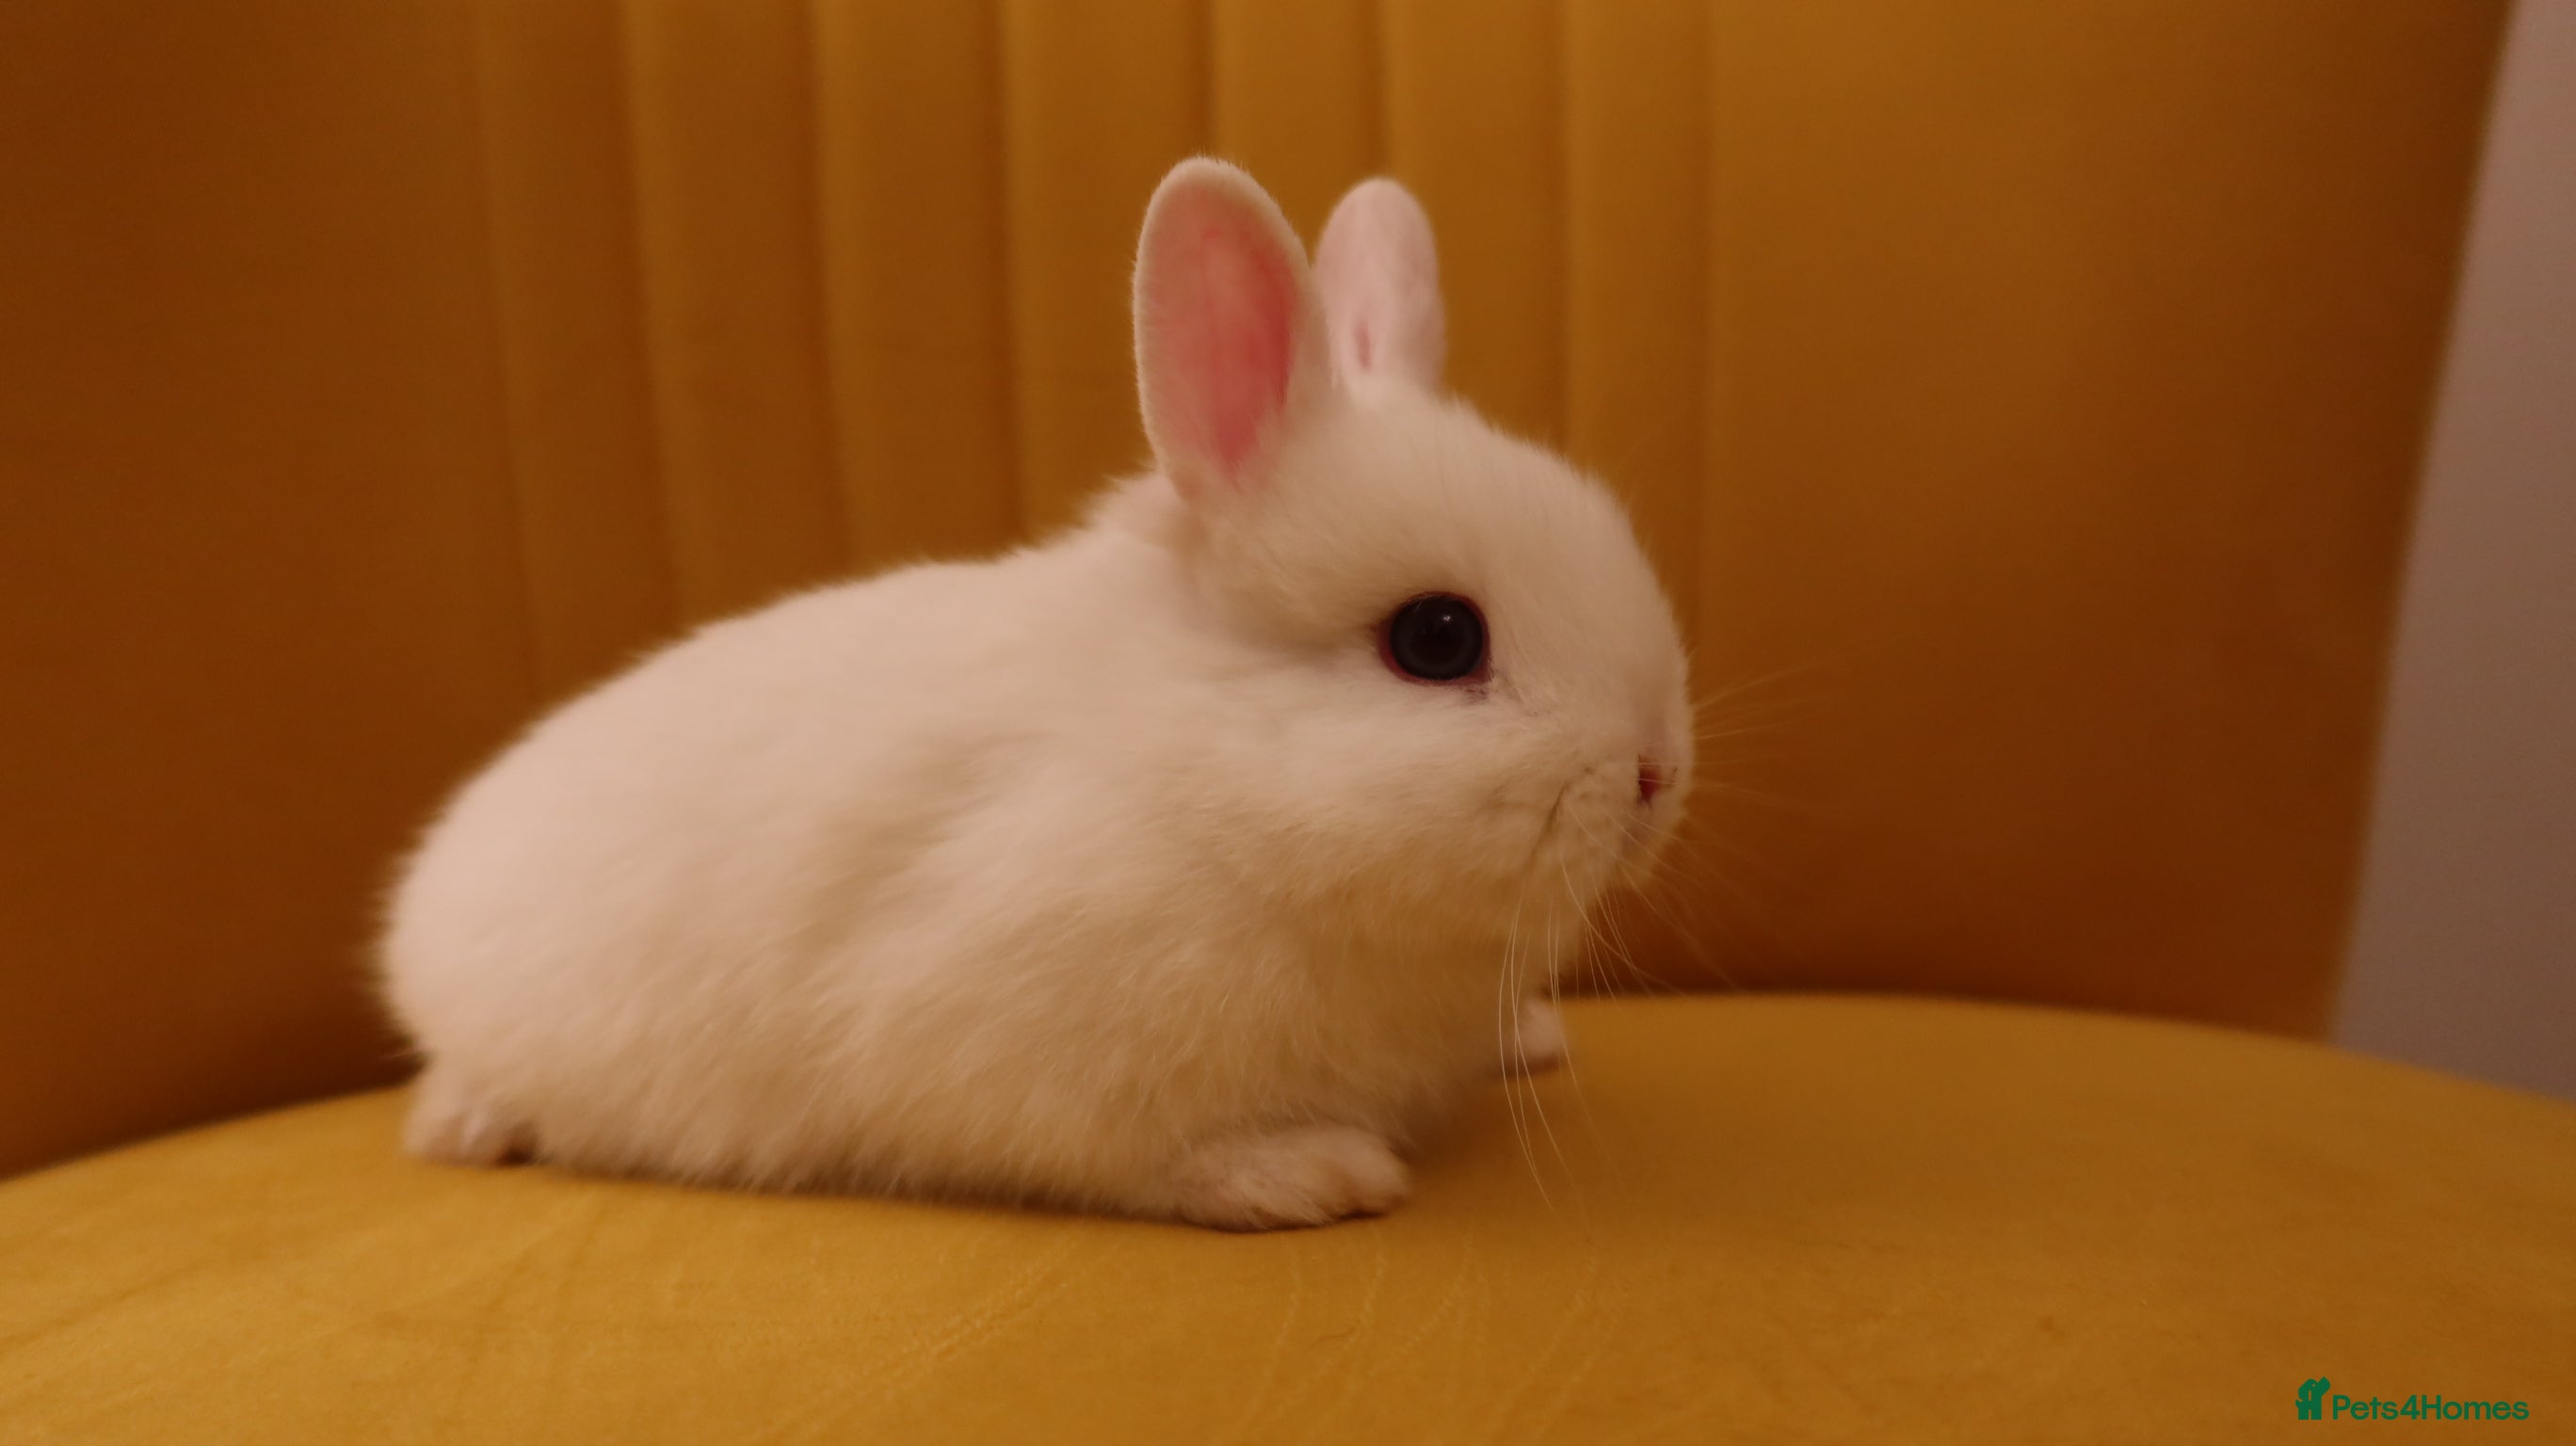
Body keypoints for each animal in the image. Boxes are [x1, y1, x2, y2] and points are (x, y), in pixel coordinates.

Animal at [379, 159, 1693, 1230]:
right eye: (1436, 639)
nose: (1654, 774)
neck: (1207, 779)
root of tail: (423, 899)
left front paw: (1530, 1038)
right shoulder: (1019, 1048)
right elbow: (1152, 1157)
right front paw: (1312, 1175)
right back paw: (471, 1128)